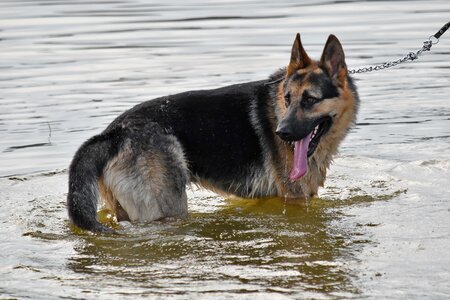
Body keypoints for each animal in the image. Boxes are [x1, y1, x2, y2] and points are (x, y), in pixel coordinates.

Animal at [66, 34, 358, 232]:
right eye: (287, 99)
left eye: (309, 100)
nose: (281, 132)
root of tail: (113, 132)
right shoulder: (294, 198)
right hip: (167, 207)